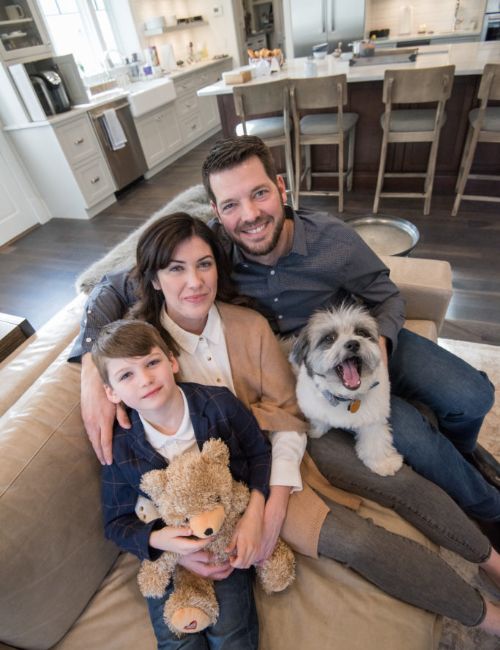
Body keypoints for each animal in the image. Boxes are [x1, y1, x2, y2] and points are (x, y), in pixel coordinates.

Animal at [292, 302, 404, 474]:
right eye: (329, 338)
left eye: (361, 332)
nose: (353, 343)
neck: (344, 397)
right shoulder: (313, 407)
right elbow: (318, 419)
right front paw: (315, 430)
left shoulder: (373, 418)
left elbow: (375, 441)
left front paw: (382, 462)